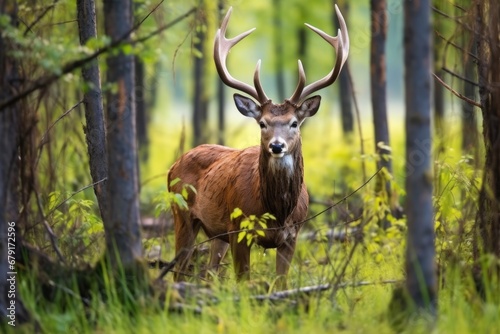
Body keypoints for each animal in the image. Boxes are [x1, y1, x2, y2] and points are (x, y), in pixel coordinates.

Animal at [168, 4, 348, 288]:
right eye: (262, 123)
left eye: (294, 123)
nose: (276, 146)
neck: (277, 212)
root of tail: (173, 165)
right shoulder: (239, 228)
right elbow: (244, 283)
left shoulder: (293, 234)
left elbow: (281, 284)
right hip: (182, 214)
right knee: (178, 272)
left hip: (216, 234)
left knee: (209, 272)